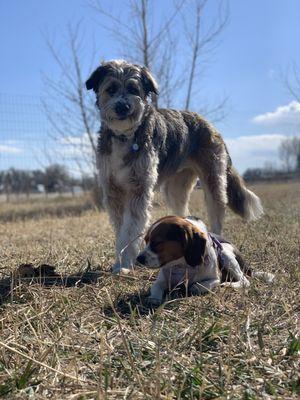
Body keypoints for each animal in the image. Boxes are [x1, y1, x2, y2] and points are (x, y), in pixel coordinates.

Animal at [85, 60, 262, 272]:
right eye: (111, 89)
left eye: (133, 89)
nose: (122, 106)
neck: (125, 136)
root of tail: (209, 125)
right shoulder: (113, 191)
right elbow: (121, 231)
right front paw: (119, 262)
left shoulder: (138, 189)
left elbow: (129, 229)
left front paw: (125, 264)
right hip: (175, 189)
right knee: (182, 214)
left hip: (213, 181)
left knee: (216, 214)